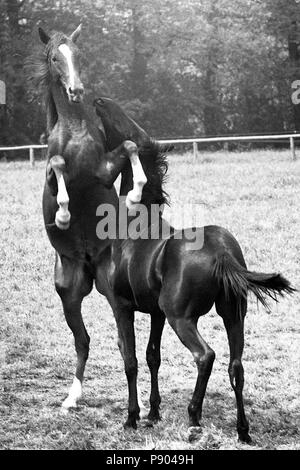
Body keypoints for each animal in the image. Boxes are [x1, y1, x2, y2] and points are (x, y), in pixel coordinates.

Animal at [29, 26, 292, 444]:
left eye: (79, 56)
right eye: (55, 57)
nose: (84, 93)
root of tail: (223, 254)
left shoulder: (127, 306)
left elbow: (133, 358)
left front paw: (135, 416)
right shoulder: (150, 311)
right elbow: (151, 356)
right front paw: (150, 413)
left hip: (181, 316)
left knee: (204, 355)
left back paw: (194, 418)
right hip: (226, 313)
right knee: (233, 364)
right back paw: (241, 430)